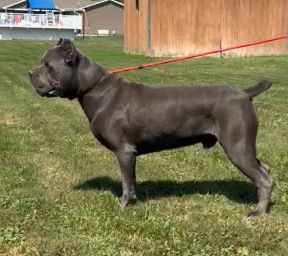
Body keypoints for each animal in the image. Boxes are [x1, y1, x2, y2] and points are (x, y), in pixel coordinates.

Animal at [28, 39, 272, 217]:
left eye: (47, 65)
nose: (29, 73)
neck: (94, 88)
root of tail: (244, 93)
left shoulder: (125, 152)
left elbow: (126, 184)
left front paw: (123, 207)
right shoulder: (129, 154)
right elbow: (131, 182)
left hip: (237, 147)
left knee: (265, 178)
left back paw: (258, 212)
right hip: (244, 147)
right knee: (265, 169)